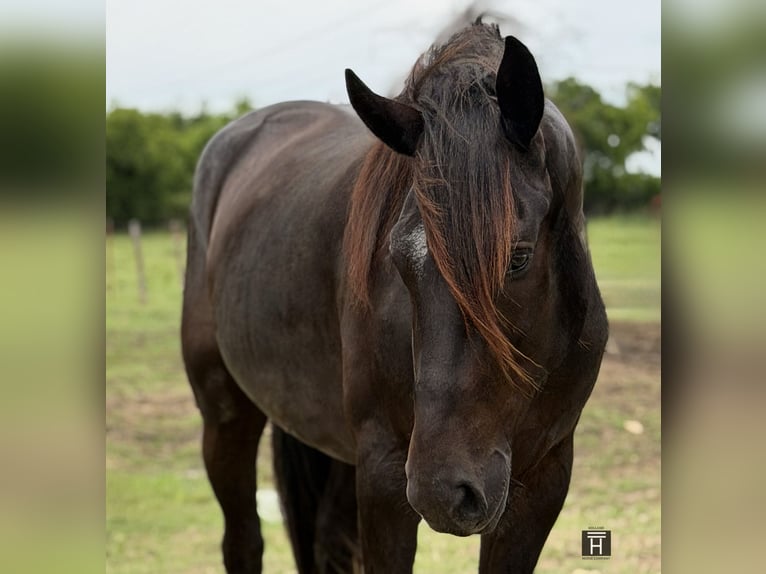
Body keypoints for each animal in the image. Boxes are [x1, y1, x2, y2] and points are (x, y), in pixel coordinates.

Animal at [181, 21, 608, 573]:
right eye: (400, 258)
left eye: (518, 257)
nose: (444, 493)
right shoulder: (384, 472)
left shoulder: (545, 478)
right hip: (227, 416)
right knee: (243, 540)